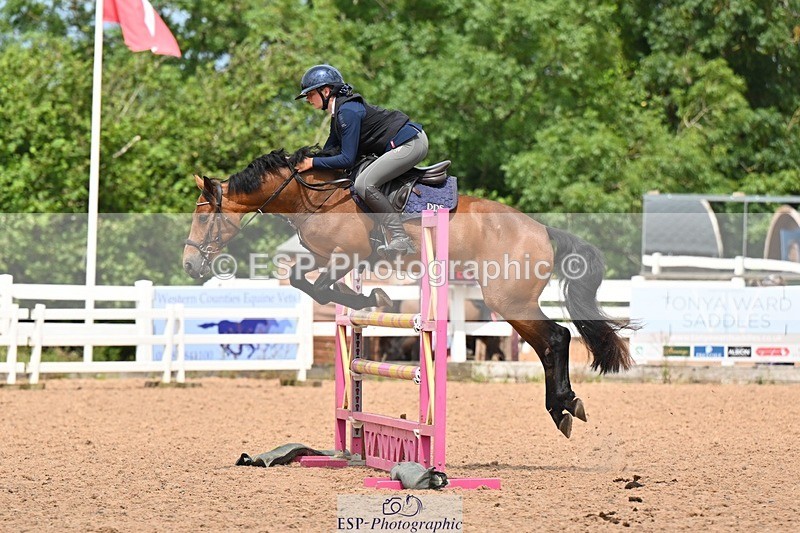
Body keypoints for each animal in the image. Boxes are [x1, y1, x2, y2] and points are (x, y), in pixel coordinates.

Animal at [182, 147, 633, 438]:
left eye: (203, 218)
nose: (189, 265)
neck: (311, 197)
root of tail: (541, 229)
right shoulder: (327, 257)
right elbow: (301, 280)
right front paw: (371, 300)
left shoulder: (348, 255)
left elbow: (321, 286)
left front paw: (372, 299)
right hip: (511, 302)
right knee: (548, 343)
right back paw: (564, 407)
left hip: (508, 300)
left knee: (556, 338)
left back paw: (563, 407)